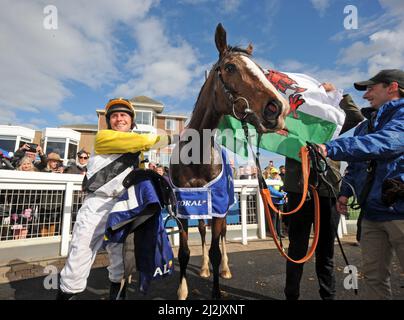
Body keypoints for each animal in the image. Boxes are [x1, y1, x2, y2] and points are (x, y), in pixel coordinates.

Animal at [169, 23, 288, 300]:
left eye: (262, 71)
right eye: (231, 67)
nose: (278, 107)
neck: (196, 157)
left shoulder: (219, 206)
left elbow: (215, 248)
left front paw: (216, 287)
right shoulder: (182, 209)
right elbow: (184, 252)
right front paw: (182, 290)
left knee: (221, 237)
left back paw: (224, 269)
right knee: (203, 232)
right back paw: (202, 269)